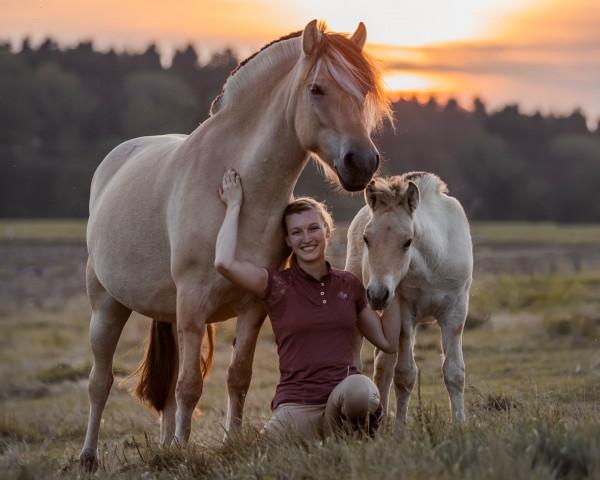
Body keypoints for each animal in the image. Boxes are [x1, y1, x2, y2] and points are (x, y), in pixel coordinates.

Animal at [79, 20, 390, 470]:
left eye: (364, 91)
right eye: (316, 89)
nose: (362, 163)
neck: (239, 194)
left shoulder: (254, 305)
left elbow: (236, 378)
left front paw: (229, 443)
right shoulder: (193, 304)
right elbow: (191, 387)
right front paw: (184, 455)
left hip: (168, 313)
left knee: (166, 389)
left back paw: (163, 446)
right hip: (108, 306)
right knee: (100, 381)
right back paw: (89, 457)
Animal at [346, 172, 474, 424]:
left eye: (407, 241)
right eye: (366, 239)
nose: (377, 295)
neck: (434, 262)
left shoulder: (456, 311)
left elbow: (454, 372)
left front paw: (460, 425)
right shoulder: (405, 314)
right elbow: (405, 375)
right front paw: (400, 429)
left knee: (382, 365)